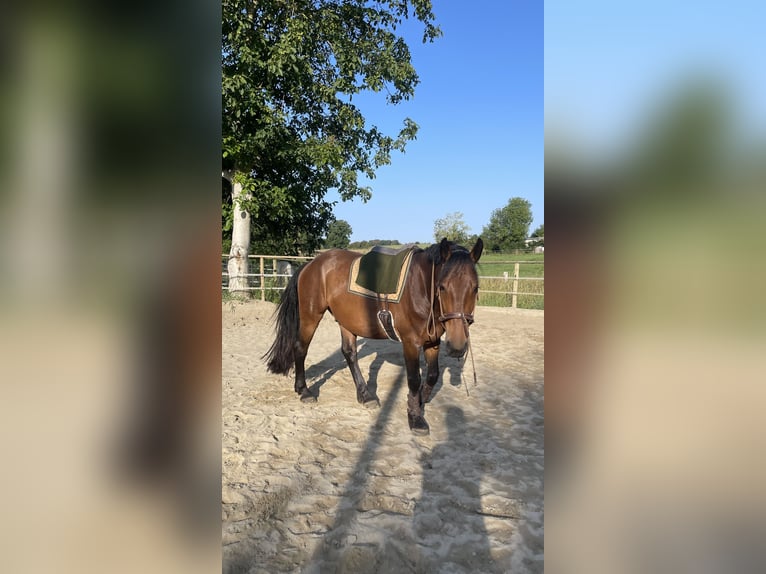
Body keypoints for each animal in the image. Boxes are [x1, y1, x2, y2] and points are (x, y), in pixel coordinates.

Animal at [263, 237, 483, 435]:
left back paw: (365, 395)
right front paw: (415, 417)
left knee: (349, 353)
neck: (421, 288)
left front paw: (420, 401)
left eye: (475, 287)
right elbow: (414, 379)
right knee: (301, 348)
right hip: (311, 316)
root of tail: (310, 264)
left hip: (346, 320)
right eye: (442, 286)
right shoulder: (410, 343)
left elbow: (432, 375)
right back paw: (304, 390)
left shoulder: (433, 342)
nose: (457, 347)